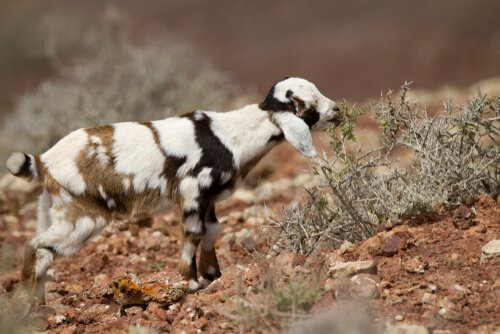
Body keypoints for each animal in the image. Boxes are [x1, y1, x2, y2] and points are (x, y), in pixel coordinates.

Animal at [5, 77, 340, 302]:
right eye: (307, 104)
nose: (337, 109)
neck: (230, 135)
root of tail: (43, 160)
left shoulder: (209, 200)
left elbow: (213, 231)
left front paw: (212, 275)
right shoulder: (193, 192)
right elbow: (193, 234)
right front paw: (190, 282)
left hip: (53, 212)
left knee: (41, 252)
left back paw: (38, 304)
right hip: (86, 219)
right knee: (36, 246)